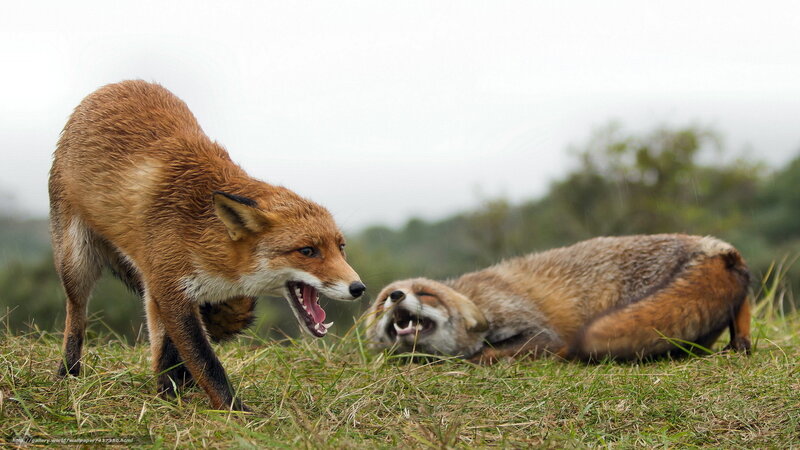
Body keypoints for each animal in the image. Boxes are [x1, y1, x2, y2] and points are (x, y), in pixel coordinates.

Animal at [49, 80, 366, 411]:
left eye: (341, 247)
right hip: (76, 261)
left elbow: (172, 350)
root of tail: (110, 87)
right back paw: (68, 373)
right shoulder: (170, 289)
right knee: (76, 315)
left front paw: (172, 393)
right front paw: (233, 410)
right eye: (307, 251)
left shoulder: (168, 290)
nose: (359, 288)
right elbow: (206, 361)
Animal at [366, 234, 751, 363]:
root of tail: (717, 247)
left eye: (425, 293)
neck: (479, 302)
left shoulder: (536, 329)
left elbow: (484, 354)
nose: (397, 296)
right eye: (384, 300)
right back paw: (741, 343)